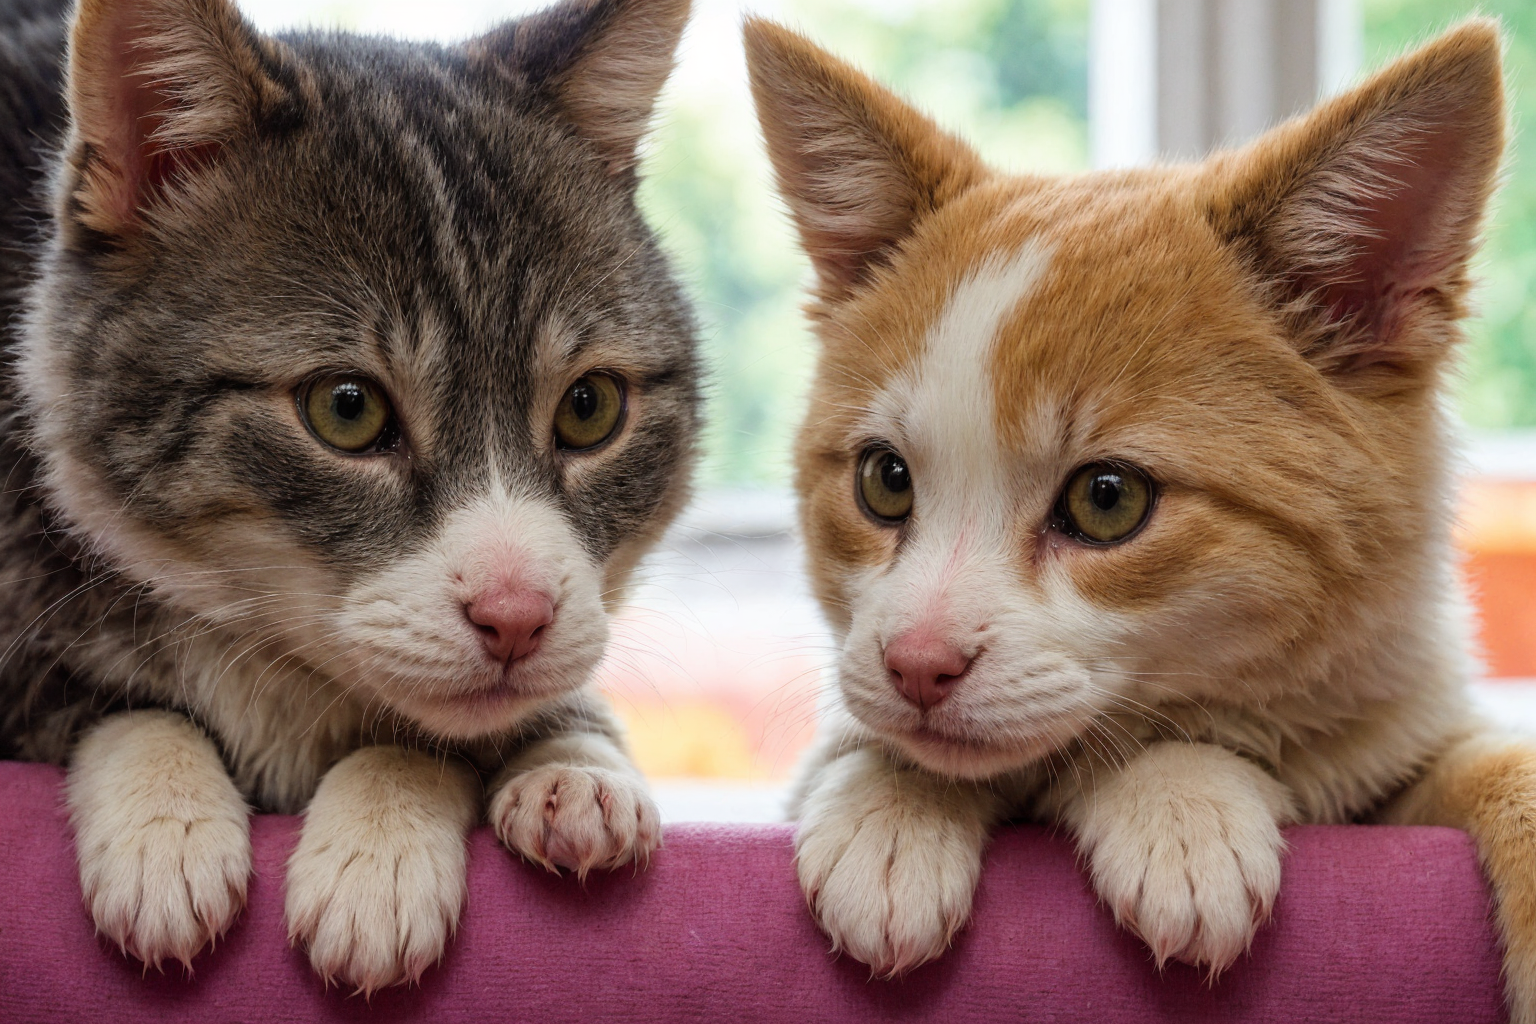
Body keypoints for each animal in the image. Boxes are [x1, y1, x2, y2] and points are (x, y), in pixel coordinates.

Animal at [3, 0, 700, 994]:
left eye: (589, 407)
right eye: (346, 409)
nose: (517, 613)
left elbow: (441, 727)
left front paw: (554, 766)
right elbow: (116, 707)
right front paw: (166, 821)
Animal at [743, 11, 1536, 1019]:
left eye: (1107, 499)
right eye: (884, 480)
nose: (917, 663)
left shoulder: (1409, 727)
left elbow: (1500, 767)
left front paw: (1174, 791)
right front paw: (892, 798)